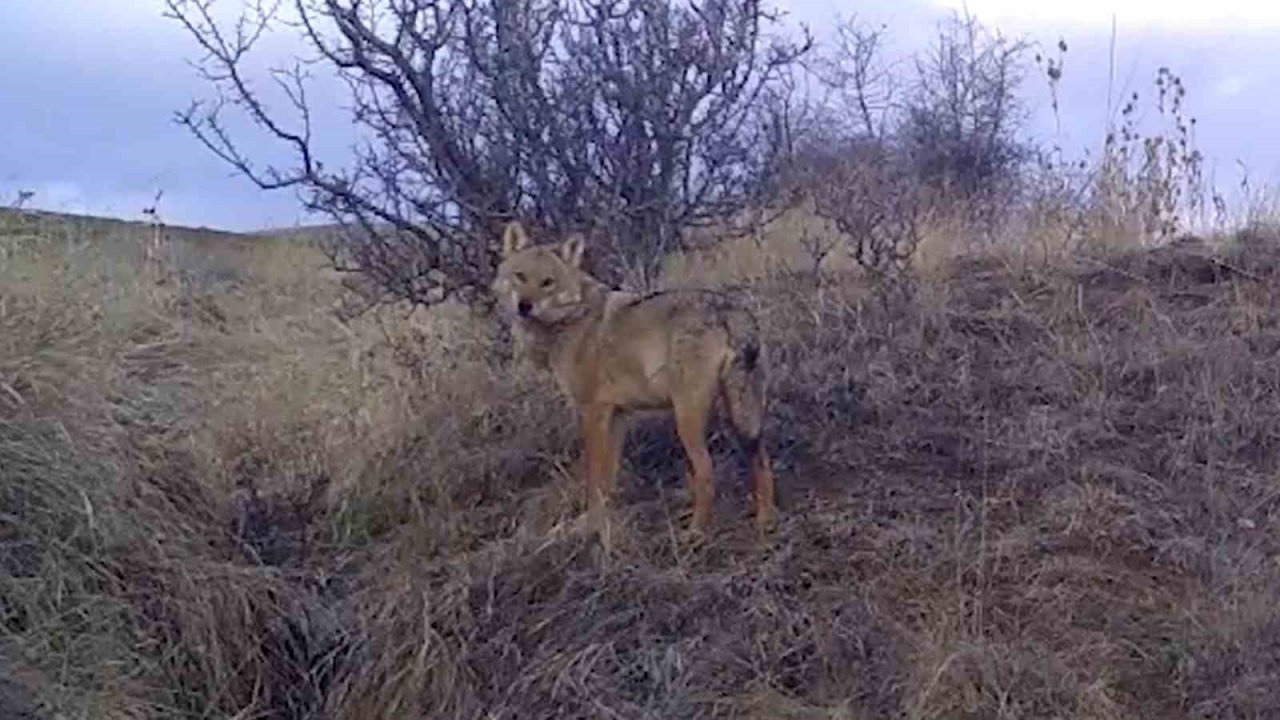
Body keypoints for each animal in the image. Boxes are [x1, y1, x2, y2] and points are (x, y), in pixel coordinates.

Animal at [491, 221, 778, 535]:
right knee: (762, 460)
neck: (570, 321)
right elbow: (609, 479)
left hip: (688, 418)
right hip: (741, 413)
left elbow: (594, 477)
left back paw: (696, 531)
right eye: (520, 276)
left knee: (706, 471)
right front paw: (603, 521)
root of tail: (731, 311)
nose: (525, 306)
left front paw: (589, 527)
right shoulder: (618, 415)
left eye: (547, 282)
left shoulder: (593, 412)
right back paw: (765, 522)